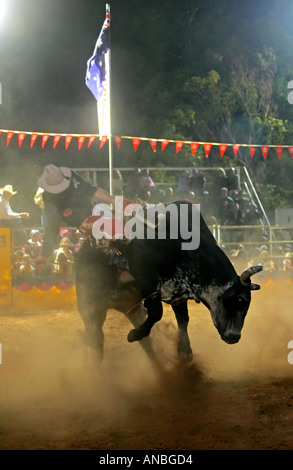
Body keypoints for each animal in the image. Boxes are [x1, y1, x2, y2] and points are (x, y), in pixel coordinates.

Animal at [74, 201, 262, 360]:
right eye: (239, 300)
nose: (234, 336)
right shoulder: (146, 281)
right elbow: (157, 312)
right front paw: (134, 334)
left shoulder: (179, 292)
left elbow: (183, 319)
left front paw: (184, 350)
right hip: (89, 305)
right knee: (96, 337)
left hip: (129, 307)